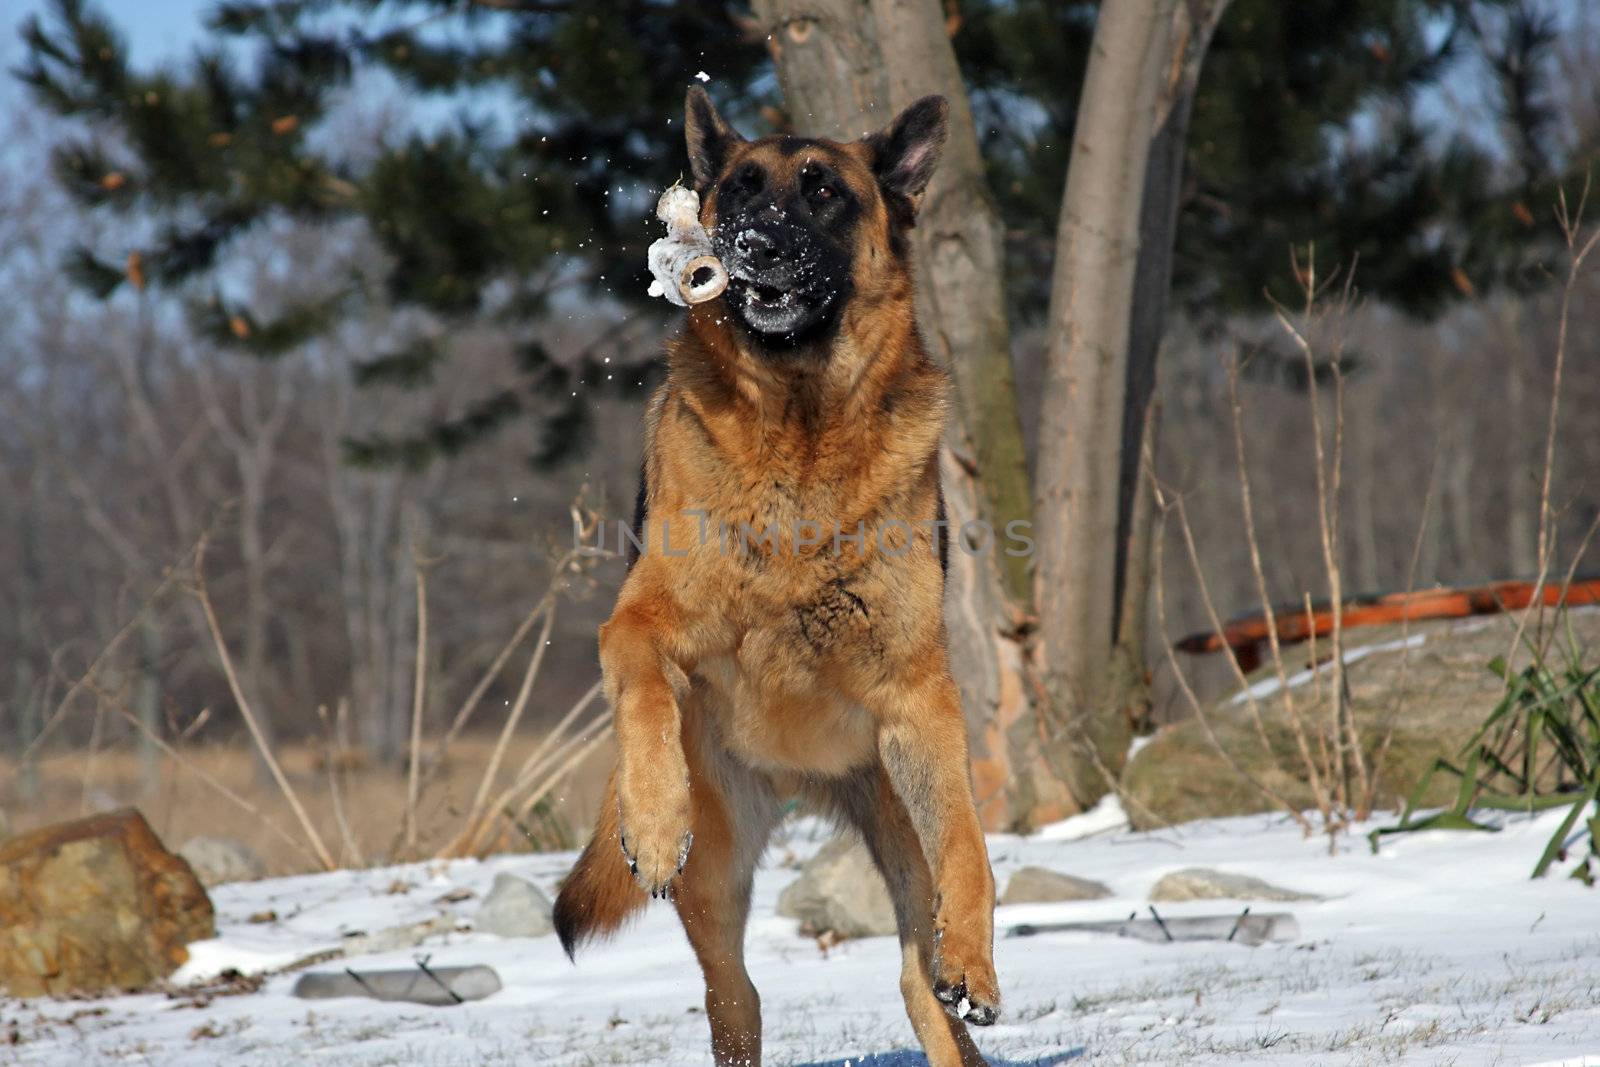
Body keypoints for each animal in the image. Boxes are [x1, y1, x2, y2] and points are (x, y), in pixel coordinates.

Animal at [556, 85, 992, 1067]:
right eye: (741, 192)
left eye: (823, 192)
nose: (751, 243)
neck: (800, 421)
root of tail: (805, 778)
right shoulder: (636, 625)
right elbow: (645, 689)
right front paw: (651, 820)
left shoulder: (921, 696)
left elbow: (967, 839)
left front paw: (977, 959)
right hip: (718, 877)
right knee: (737, 996)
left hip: (898, 830)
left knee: (920, 983)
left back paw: (950, 976)